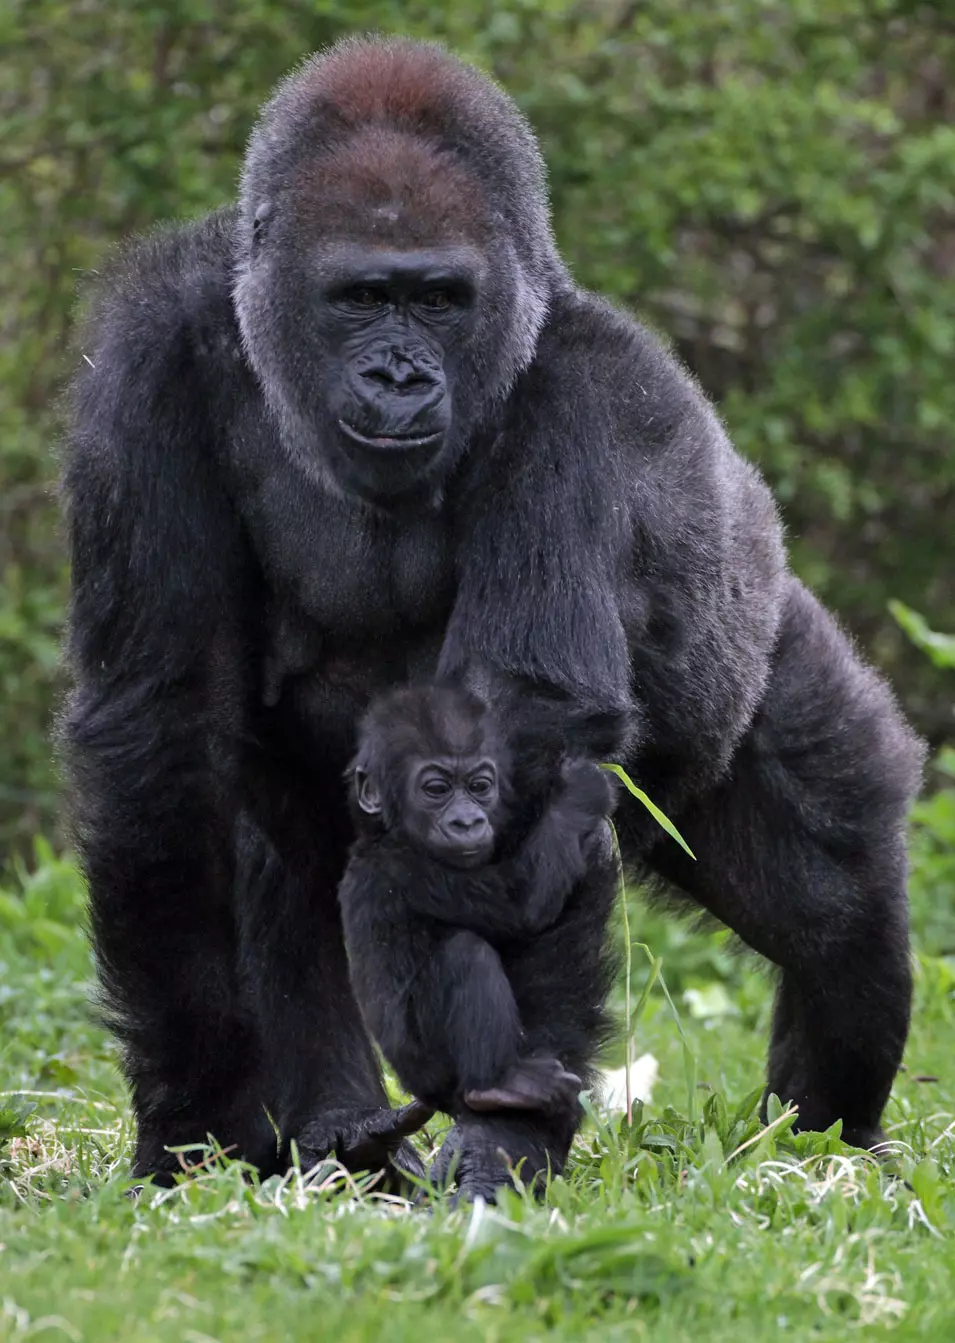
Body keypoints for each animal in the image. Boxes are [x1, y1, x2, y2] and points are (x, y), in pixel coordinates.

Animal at [339, 687, 615, 1117]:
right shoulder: (414, 871)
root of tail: (424, 1095)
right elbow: (521, 902)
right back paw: (497, 1086)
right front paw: (581, 792)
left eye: (479, 786)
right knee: (465, 955)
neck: (386, 833)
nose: (467, 822)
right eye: (436, 789)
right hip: (431, 1068)